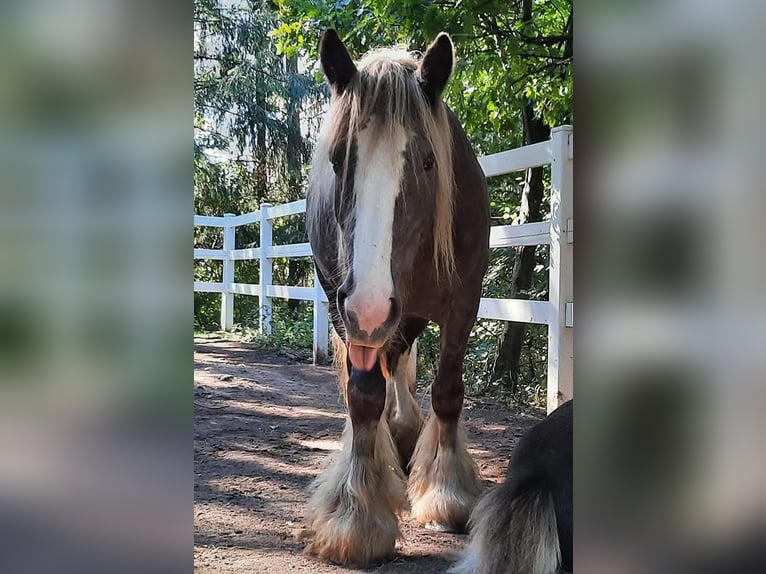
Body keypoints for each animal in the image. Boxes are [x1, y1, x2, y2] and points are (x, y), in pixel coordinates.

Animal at [304, 29, 488, 568]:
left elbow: (447, 392)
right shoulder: (349, 309)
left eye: (428, 161)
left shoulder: (463, 302)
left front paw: (446, 494)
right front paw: (357, 517)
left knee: (401, 364)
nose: (368, 306)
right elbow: (363, 395)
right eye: (338, 158)